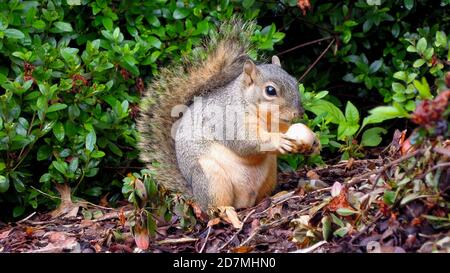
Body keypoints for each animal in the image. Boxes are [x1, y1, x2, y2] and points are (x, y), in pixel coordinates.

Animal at [137, 18, 316, 210]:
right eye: (270, 91)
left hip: (269, 174)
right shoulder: (228, 119)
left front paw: (314, 144)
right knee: (216, 206)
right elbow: (244, 141)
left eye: (295, 82)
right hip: (211, 179)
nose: (299, 113)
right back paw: (227, 212)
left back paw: (275, 196)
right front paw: (277, 140)